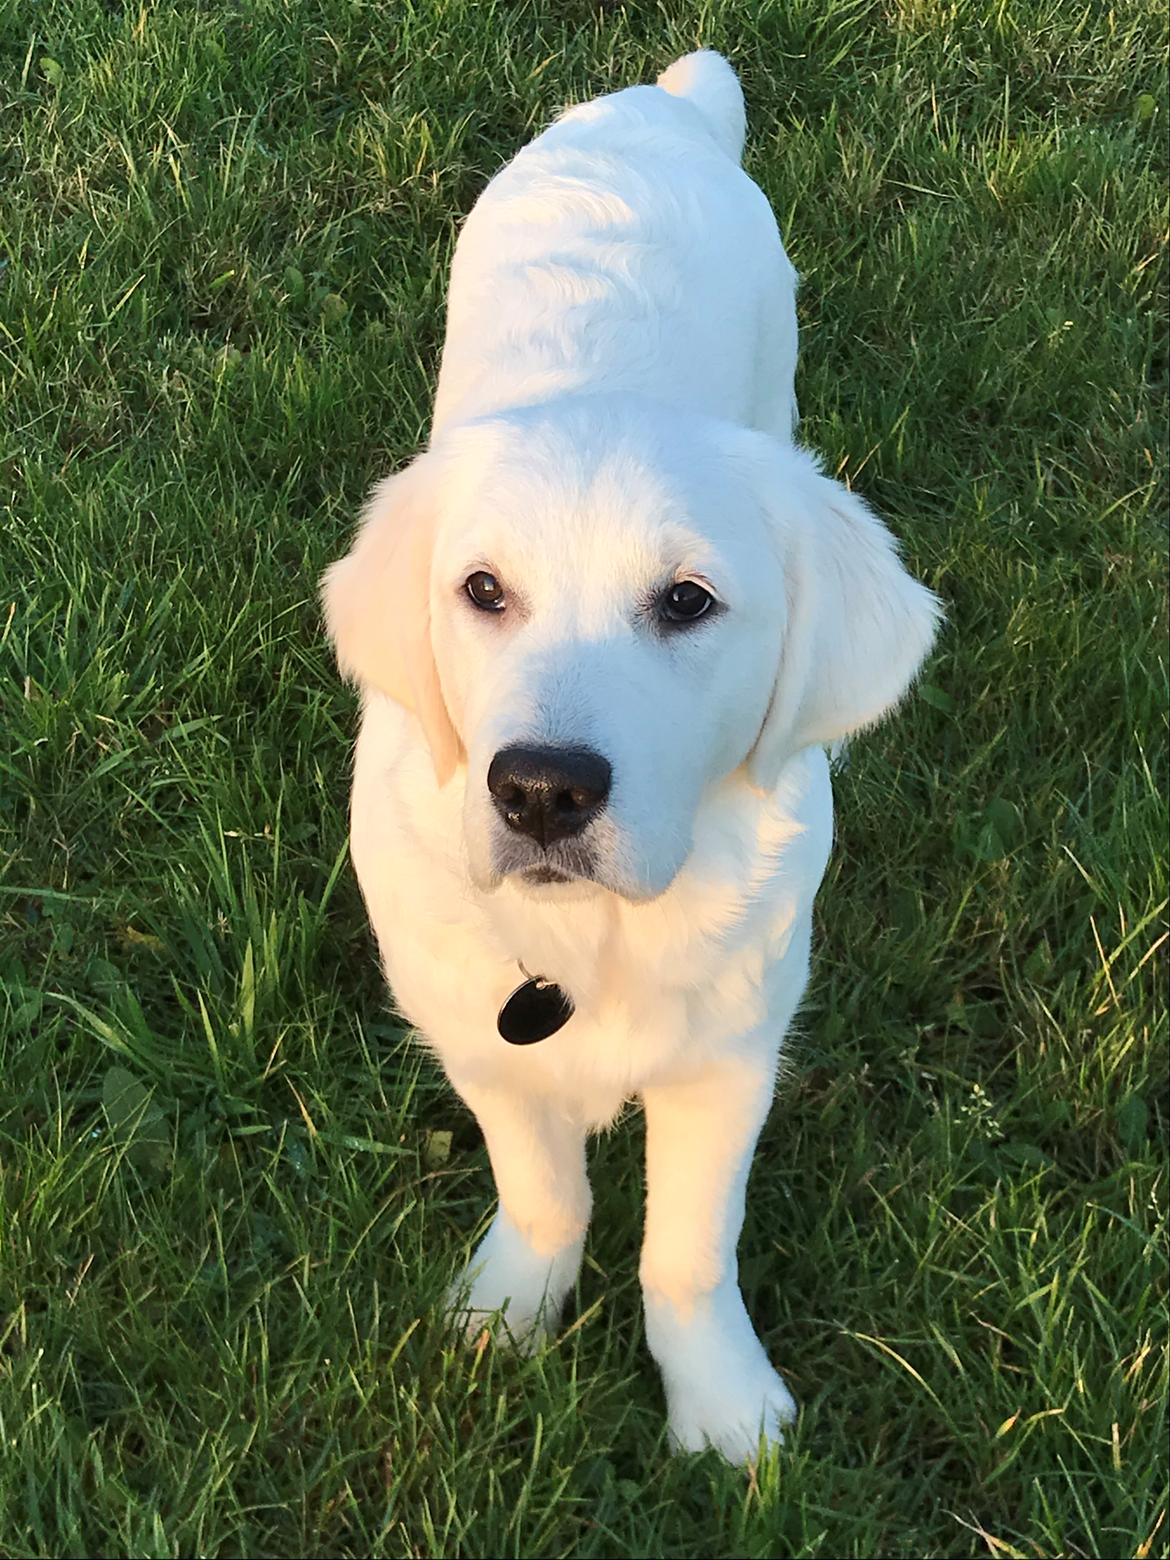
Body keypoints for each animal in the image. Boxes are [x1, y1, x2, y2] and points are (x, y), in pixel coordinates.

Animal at [322, 48, 942, 1460]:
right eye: (482, 591)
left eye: (688, 603)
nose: (542, 789)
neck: (595, 934)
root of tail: (657, 104)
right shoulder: (478, 1032)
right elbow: (545, 1190)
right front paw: (509, 1311)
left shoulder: (734, 1049)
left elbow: (688, 1252)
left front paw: (722, 1409)